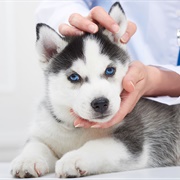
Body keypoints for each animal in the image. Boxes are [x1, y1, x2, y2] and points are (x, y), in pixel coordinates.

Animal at [10, 1, 180, 179]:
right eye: (74, 77)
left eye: (110, 70)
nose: (101, 103)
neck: (77, 131)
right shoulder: (45, 130)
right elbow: (36, 144)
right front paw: (27, 159)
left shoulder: (133, 140)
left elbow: (98, 145)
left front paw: (74, 158)